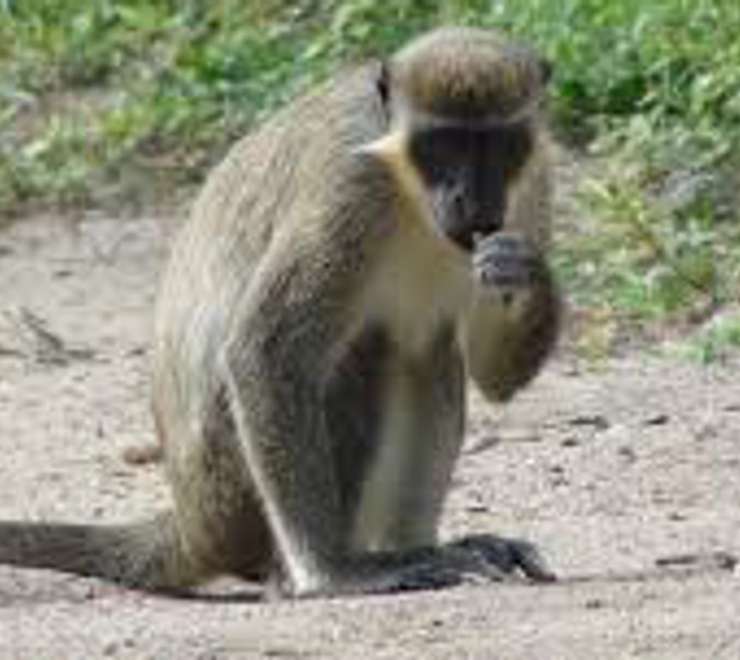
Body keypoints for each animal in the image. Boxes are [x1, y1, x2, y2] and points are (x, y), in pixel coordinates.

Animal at [0, 26, 560, 598]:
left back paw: (419, 546)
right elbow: (265, 351)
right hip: (234, 493)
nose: (470, 198)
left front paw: (526, 271)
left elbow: (493, 377)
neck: (405, 183)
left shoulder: (534, 179)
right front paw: (332, 573)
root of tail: (194, 524)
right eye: (443, 144)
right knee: (364, 353)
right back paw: (329, 567)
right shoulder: (350, 185)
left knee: (427, 348)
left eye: (496, 144)